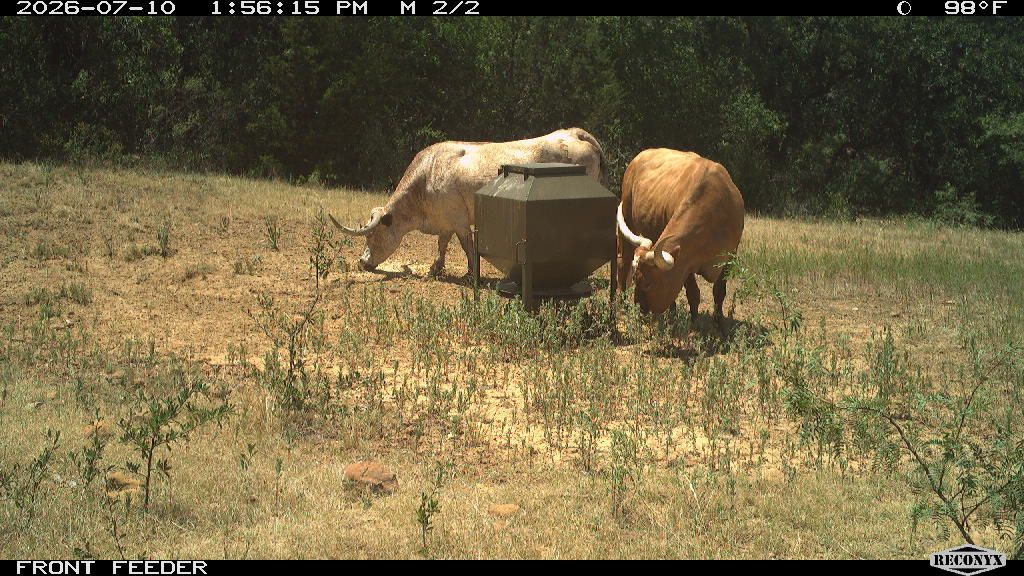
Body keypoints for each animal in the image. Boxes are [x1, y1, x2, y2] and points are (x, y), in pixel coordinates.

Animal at [330, 128, 607, 277]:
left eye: (372, 235)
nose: (361, 262)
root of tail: (573, 132)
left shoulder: (460, 220)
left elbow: (466, 246)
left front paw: (472, 272)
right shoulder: (446, 221)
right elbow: (442, 244)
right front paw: (435, 268)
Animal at [615, 148, 745, 319]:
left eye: (649, 283)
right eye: (636, 279)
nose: (641, 309)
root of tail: (641, 155)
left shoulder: (730, 256)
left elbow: (719, 292)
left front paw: (718, 321)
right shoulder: (686, 263)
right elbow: (693, 293)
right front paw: (694, 322)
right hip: (626, 218)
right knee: (622, 263)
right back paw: (621, 303)